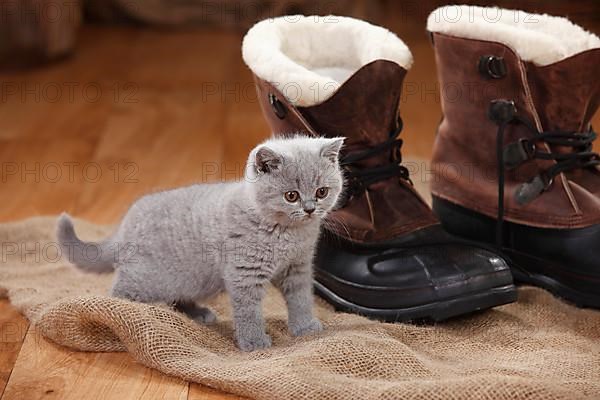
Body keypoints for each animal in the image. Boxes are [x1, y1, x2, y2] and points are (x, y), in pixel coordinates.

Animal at [57, 136, 346, 352]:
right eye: (291, 196)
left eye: (321, 192)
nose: (310, 209)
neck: (288, 233)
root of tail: (125, 225)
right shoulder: (245, 272)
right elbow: (248, 311)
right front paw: (254, 343)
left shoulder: (297, 267)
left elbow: (300, 298)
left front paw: (305, 327)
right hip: (152, 277)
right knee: (121, 291)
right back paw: (121, 314)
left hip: (193, 279)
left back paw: (197, 314)